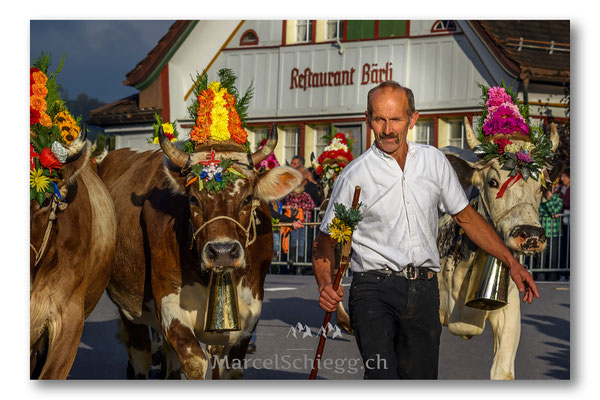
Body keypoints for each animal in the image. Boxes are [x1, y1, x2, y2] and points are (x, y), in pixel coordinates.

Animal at [100, 126, 302, 380]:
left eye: (248, 198)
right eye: (193, 200)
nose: (223, 251)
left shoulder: (247, 316)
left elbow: (229, 370)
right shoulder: (169, 305)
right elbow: (195, 362)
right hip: (129, 309)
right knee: (141, 358)